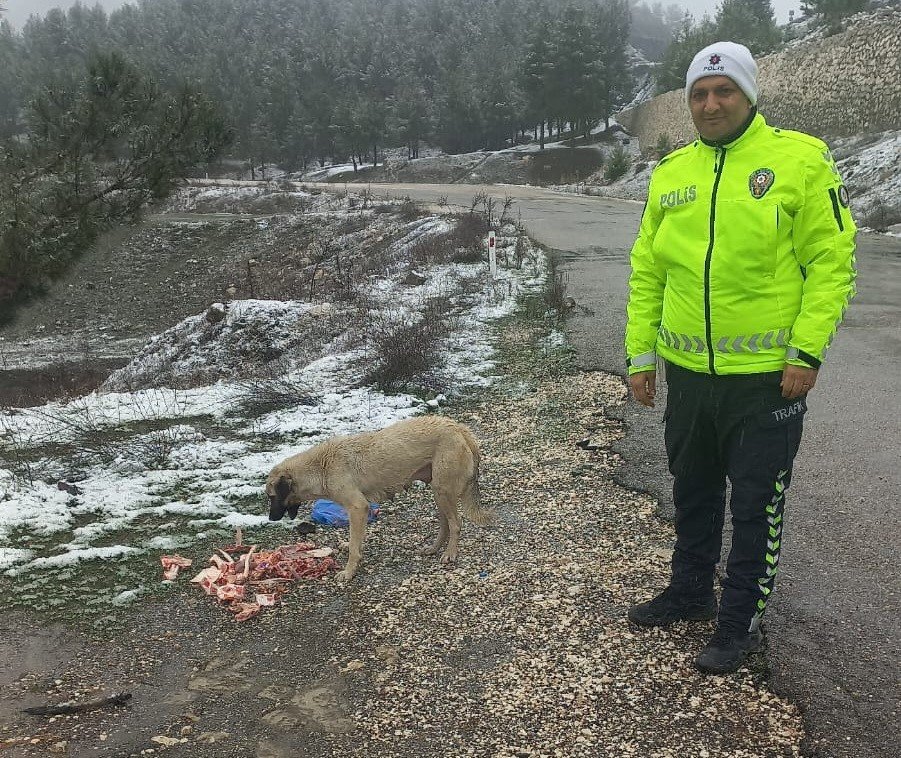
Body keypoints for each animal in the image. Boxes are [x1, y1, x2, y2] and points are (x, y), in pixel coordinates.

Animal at [264, 416, 496, 580]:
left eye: (271, 496)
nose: (270, 518)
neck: (321, 466)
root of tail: (458, 427)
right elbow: (355, 541)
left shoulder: (358, 507)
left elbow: (354, 547)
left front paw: (349, 572)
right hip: (439, 491)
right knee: (445, 523)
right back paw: (434, 548)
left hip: (443, 491)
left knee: (455, 523)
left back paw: (450, 553)